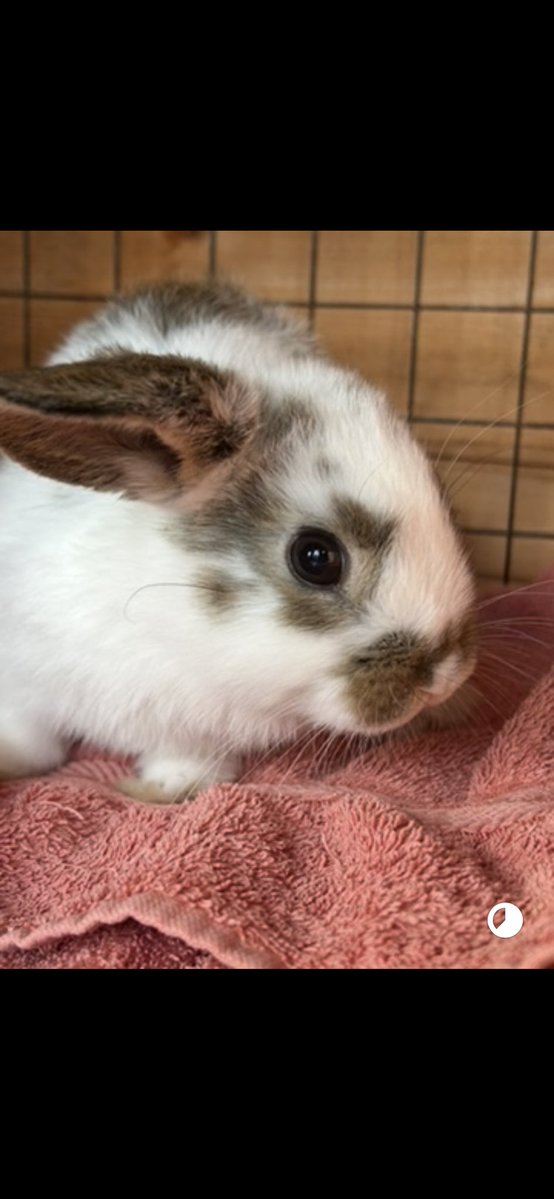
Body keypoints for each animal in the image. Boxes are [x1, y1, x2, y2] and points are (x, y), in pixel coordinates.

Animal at [0, 281, 477, 804]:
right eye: (316, 558)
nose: (443, 679)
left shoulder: (190, 729)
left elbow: (185, 761)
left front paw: (164, 790)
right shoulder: (21, 673)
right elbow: (29, 737)